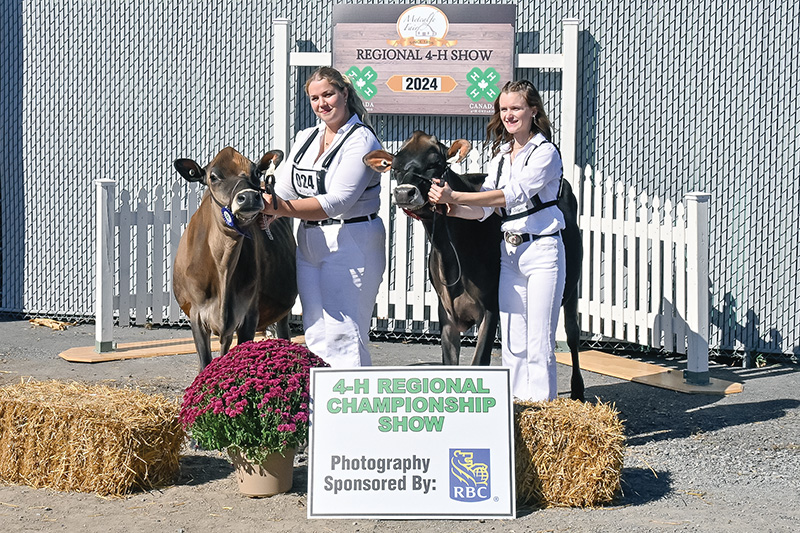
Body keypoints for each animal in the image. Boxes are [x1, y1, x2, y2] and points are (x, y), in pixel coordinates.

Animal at [173, 148, 298, 368]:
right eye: (213, 177)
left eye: (256, 172)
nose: (248, 197)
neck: (223, 267)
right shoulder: (196, 315)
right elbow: (206, 363)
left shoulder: (248, 314)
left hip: (283, 312)